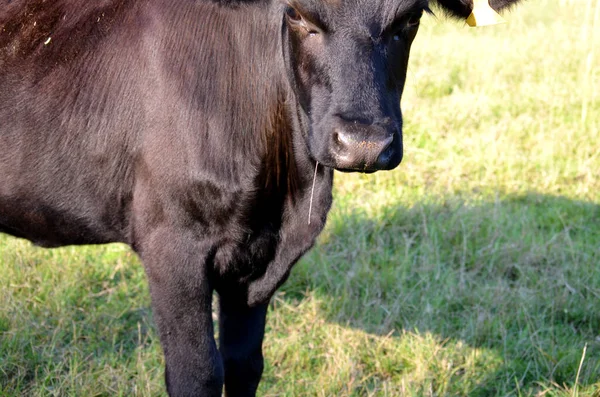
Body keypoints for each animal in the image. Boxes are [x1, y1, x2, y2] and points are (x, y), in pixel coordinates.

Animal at [0, 0, 520, 394]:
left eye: (409, 19)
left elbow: (244, 364)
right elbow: (197, 374)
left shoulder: (262, 260)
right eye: (300, 15)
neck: (286, 193)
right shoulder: (172, 245)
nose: (364, 143)